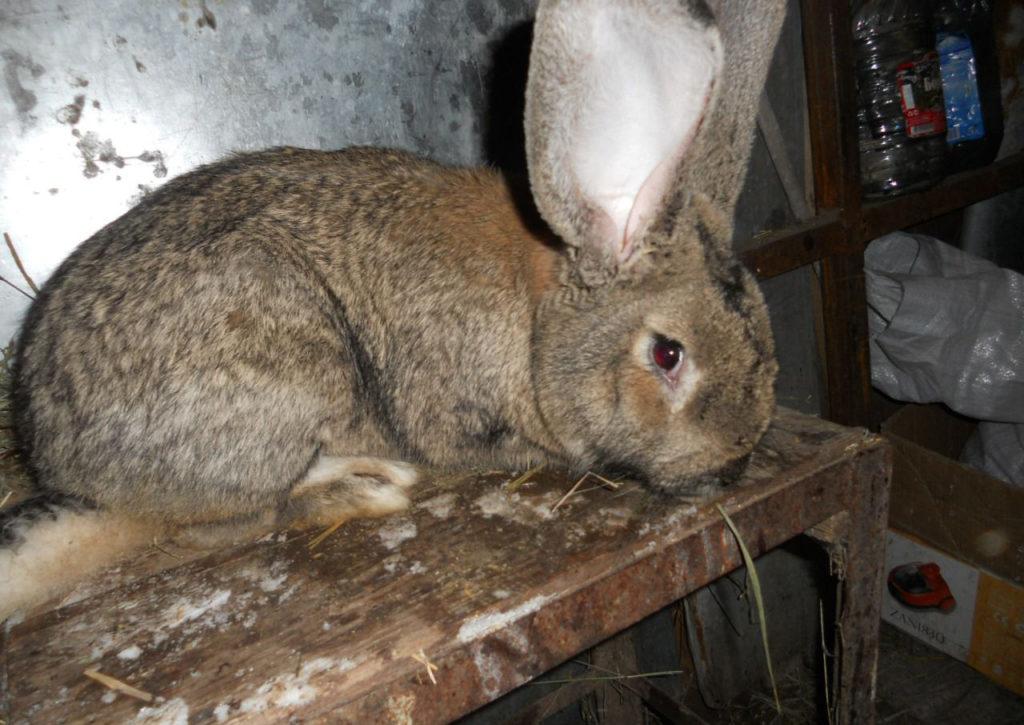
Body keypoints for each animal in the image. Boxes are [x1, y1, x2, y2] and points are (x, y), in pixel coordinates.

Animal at [1, 0, 784, 620]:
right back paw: (367, 485)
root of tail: (64, 461)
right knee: (231, 521)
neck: (539, 319)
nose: (731, 468)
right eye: (667, 354)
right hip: (291, 366)